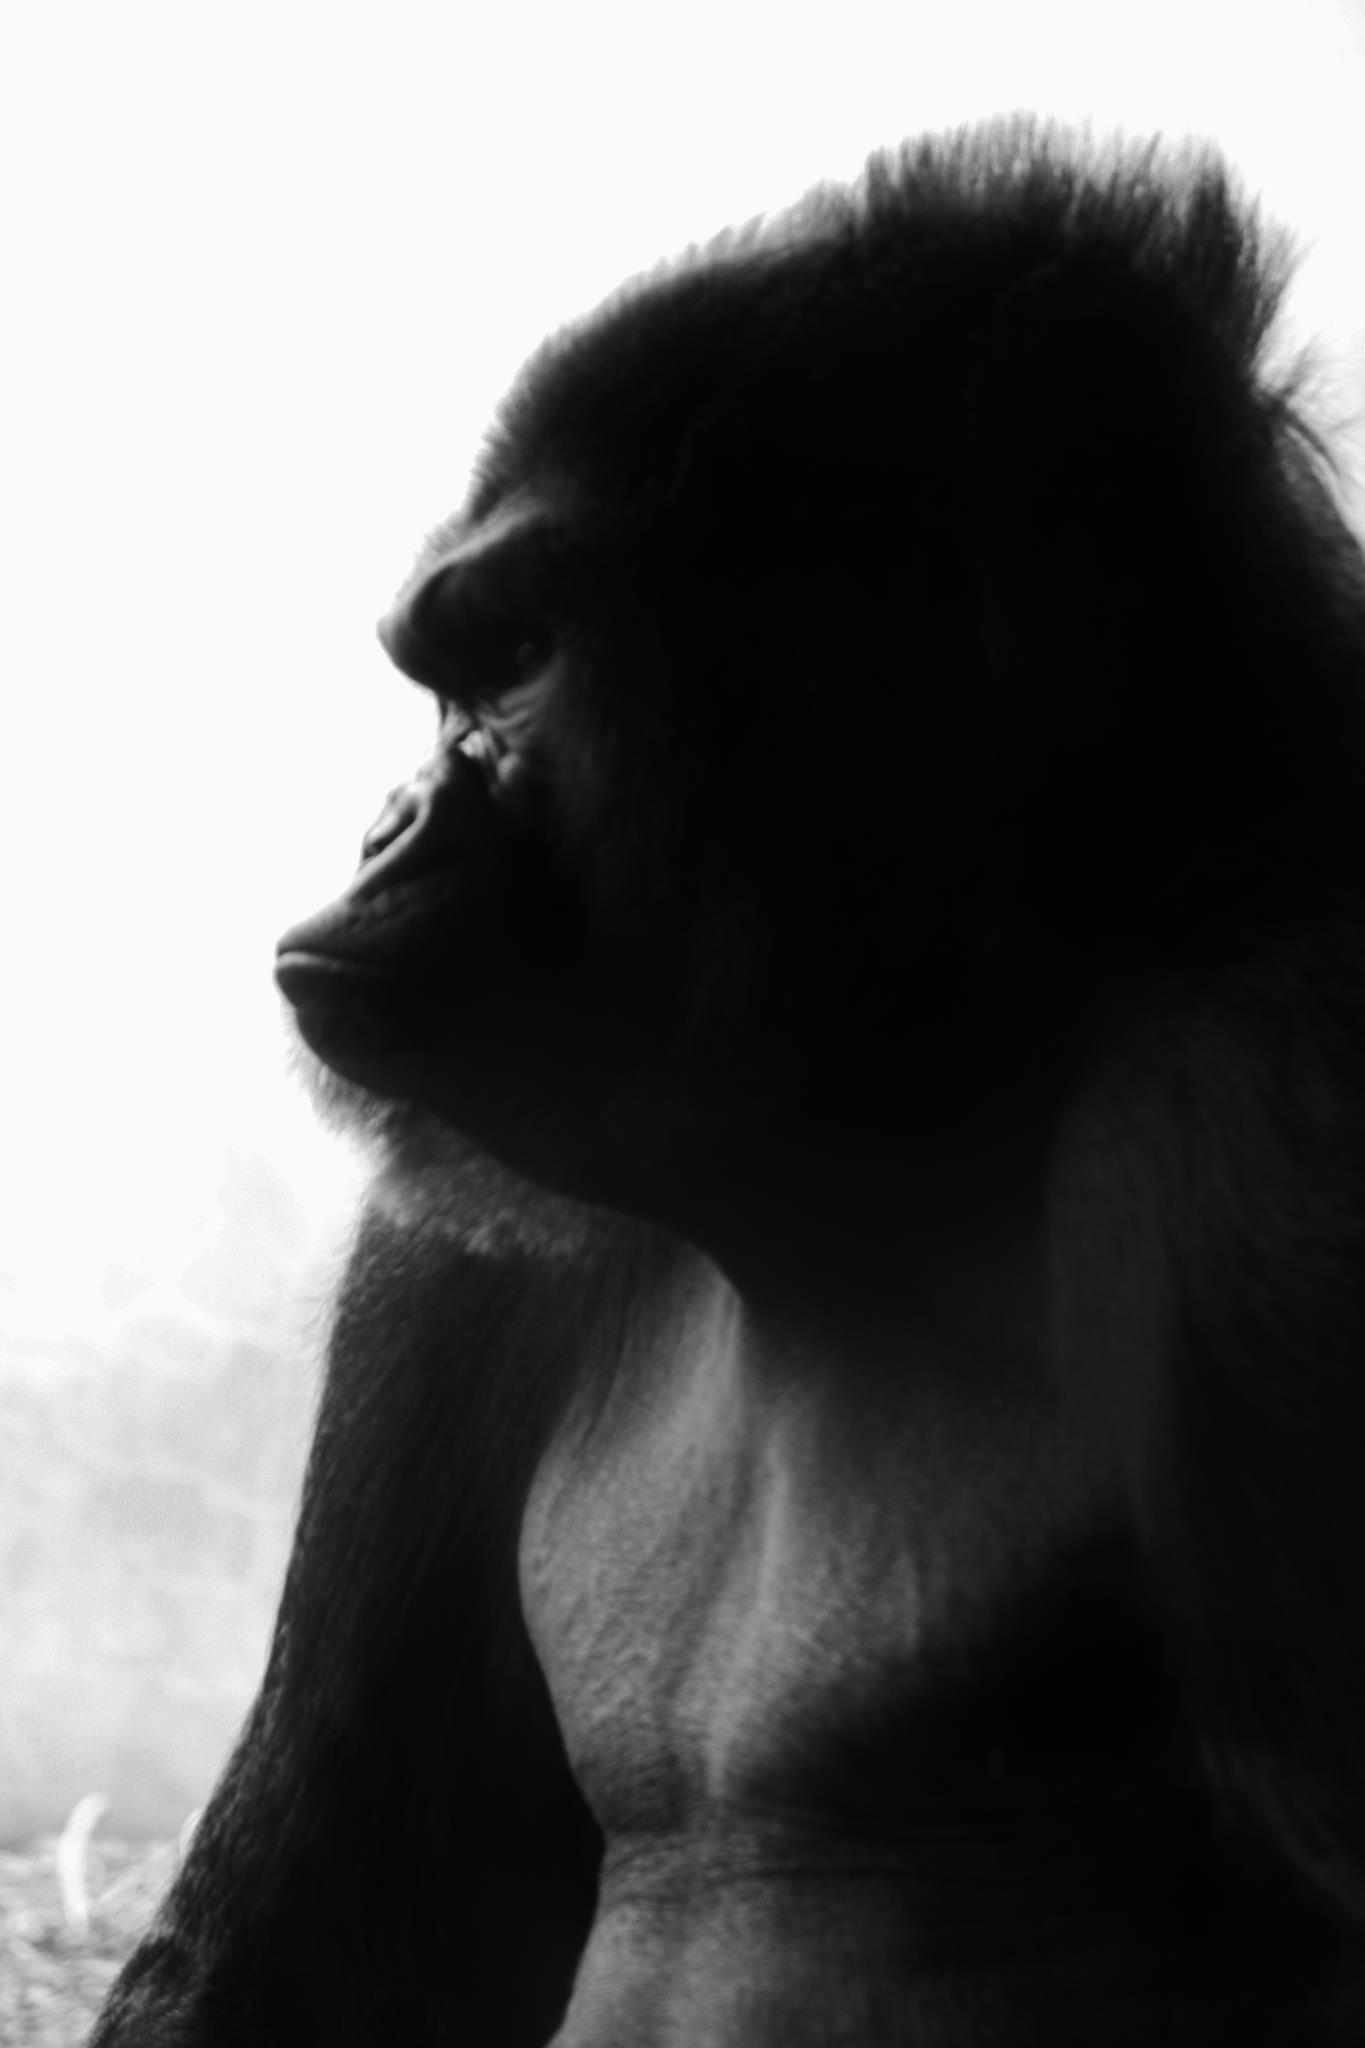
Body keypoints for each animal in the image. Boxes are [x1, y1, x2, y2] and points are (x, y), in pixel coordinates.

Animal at [92, 119, 1365, 2045]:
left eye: (515, 663)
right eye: (450, 675)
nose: (384, 818)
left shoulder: (1259, 1107)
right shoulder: (455, 1246)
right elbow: (331, 1902)